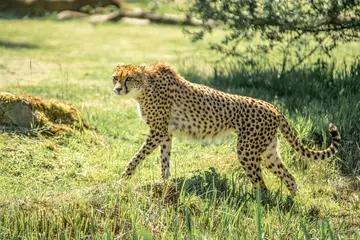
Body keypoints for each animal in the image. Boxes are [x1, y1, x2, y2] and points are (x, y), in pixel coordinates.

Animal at [112, 62, 340, 195]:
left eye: (129, 78)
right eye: (116, 77)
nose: (117, 89)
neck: (145, 86)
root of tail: (273, 107)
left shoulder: (158, 131)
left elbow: (137, 157)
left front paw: (123, 178)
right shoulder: (166, 133)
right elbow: (164, 160)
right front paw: (165, 183)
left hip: (247, 152)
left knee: (262, 186)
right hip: (268, 152)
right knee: (289, 177)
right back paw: (294, 203)